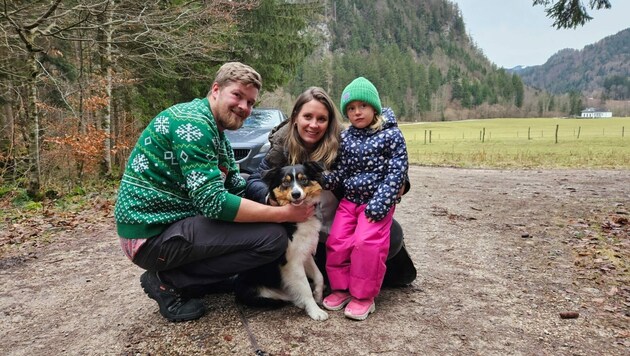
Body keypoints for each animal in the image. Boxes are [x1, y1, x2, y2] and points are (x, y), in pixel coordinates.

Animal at [235, 163, 328, 322]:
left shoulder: (305, 252)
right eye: (285, 182)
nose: (296, 194)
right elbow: (305, 288)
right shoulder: (292, 261)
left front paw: (318, 295)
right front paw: (315, 311)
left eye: (304, 180)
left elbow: (319, 276)